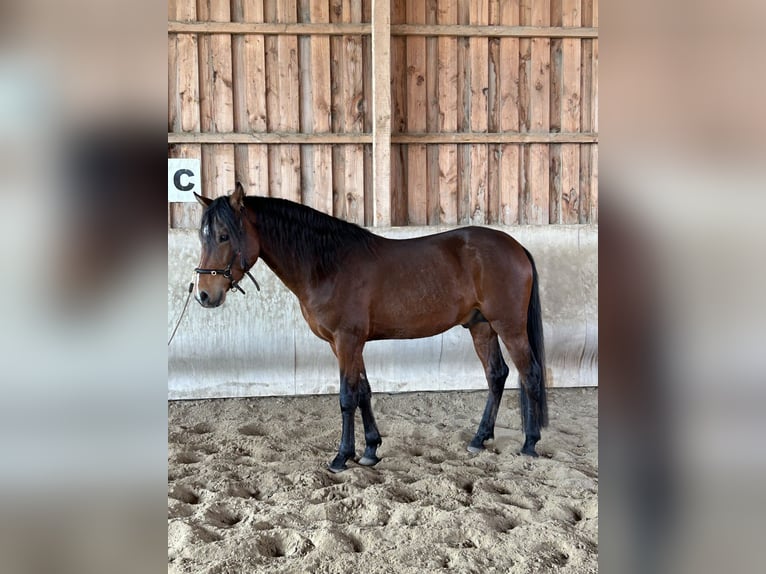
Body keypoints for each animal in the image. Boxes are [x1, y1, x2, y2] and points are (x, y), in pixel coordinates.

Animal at [193, 182, 548, 473]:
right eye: (203, 236)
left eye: (224, 236)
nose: (204, 294)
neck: (328, 265)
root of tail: (516, 247)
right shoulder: (346, 344)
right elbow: (363, 390)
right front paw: (370, 450)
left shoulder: (347, 340)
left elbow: (346, 396)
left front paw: (341, 457)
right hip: (481, 326)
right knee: (496, 374)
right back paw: (479, 438)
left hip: (509, 326)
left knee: (529, 373)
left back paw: (530, 444)